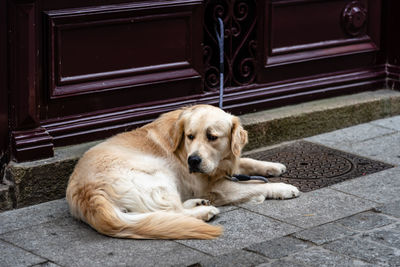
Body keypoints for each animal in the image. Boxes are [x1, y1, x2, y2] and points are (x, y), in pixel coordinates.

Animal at [65, 104, 298, 241]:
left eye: (212, 137)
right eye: (190, 136)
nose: (192, 161)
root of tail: (88, 195)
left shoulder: (223, 165)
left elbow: (246, 161)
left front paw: (273, 166)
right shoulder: (216, 188)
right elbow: (257, 186)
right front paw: (283, 187)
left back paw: (197, 203)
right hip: (157, 172)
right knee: (172, 212)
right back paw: (204, 211)